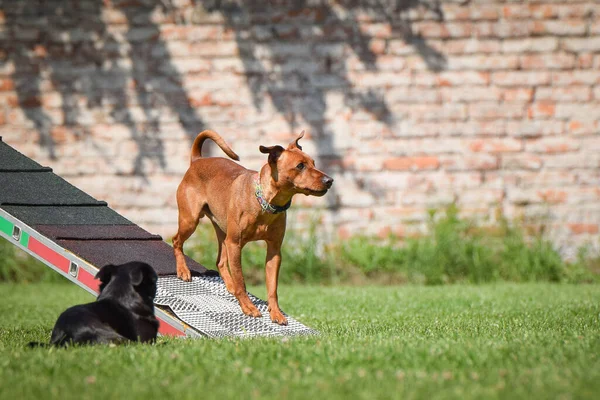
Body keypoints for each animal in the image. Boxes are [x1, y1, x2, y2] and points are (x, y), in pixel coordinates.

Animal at [172, 130, 332, 324]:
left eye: (314, 163)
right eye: (300, 166)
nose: (330, 180)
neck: (264, 202)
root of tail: (197, 160)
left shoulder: (274, 250)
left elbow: (272, 288)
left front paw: (276, 313)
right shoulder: (235, 244)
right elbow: (241, 280)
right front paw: (248, 306)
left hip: (223, 231)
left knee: (220, 261)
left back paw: (229, 285)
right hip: (191, 220)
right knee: (176, 240)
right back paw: (183, 270)